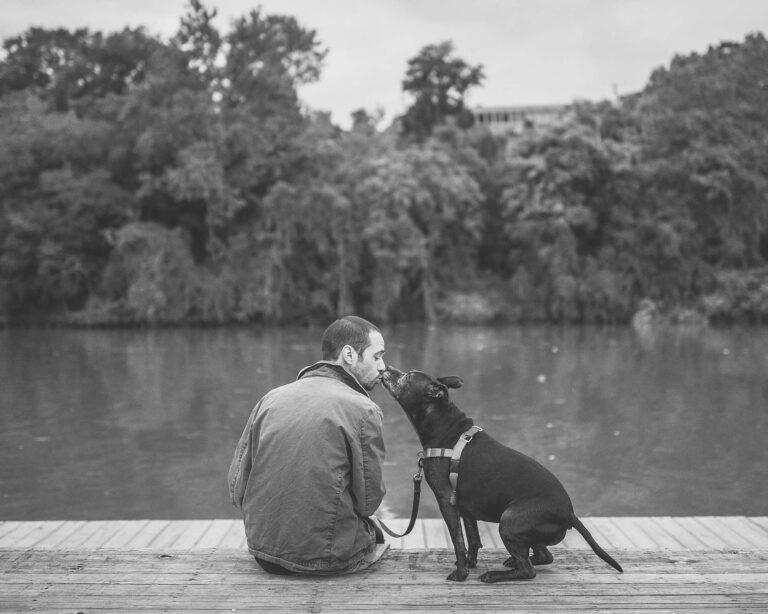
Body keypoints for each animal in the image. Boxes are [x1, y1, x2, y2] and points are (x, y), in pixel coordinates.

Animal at [380, 368, 620, 584]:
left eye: (407, 377)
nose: (386, 368)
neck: (445, 428)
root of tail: (570, 513)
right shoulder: (466, 507)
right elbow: (473, 539)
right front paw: (470, 563)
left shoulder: (447, 501)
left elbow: (458, 541)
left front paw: (461, 573)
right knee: (543, 556)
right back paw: (511, 562)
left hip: (508, 521)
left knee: (528, 570)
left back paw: (495, 575)